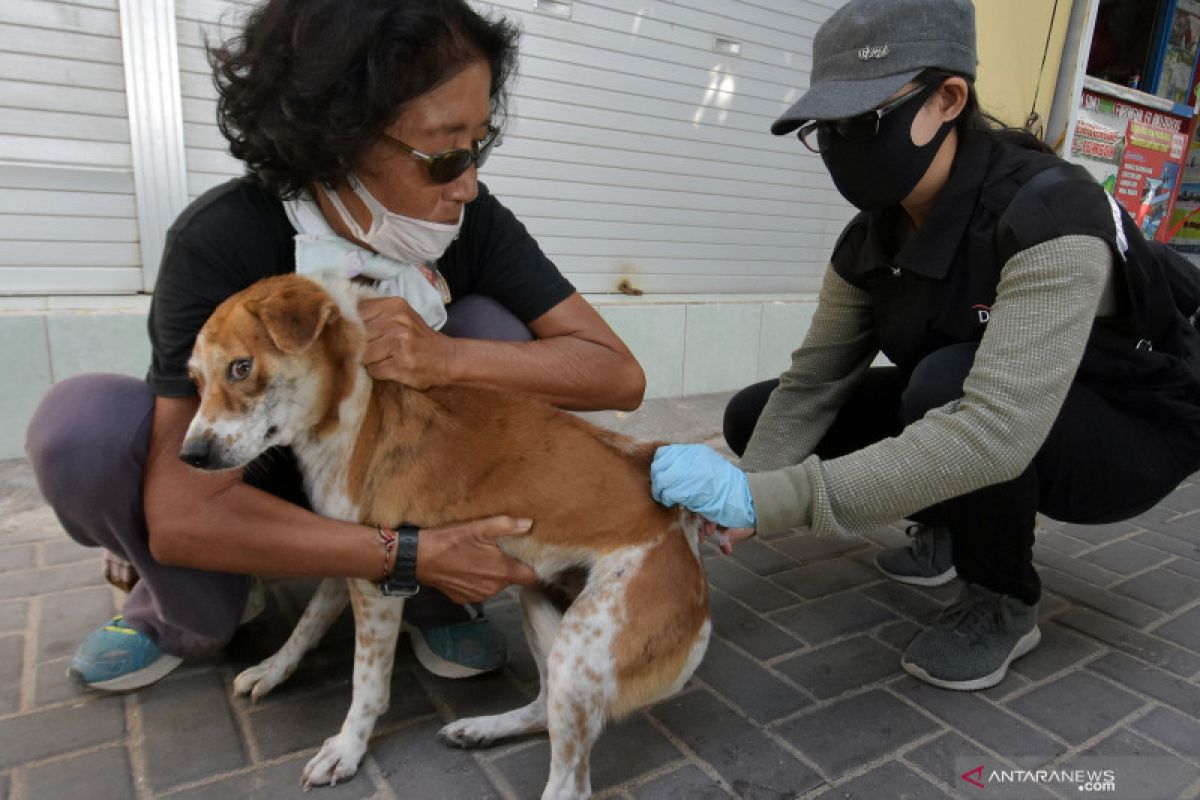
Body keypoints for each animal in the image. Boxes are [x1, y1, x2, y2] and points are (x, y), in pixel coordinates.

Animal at [177, 273, 710, 796]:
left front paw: (347, 747)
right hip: (546, 612)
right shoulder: (351, 551)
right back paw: (481, 729)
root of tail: (680, 534)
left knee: (569, 785)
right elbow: (307, 623)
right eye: (195, 381)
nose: (190, 456)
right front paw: (273, 669)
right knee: (543, 707)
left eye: (241, 368)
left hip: (582, 653)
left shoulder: (378, 584)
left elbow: (367, 682)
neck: (353, 408)